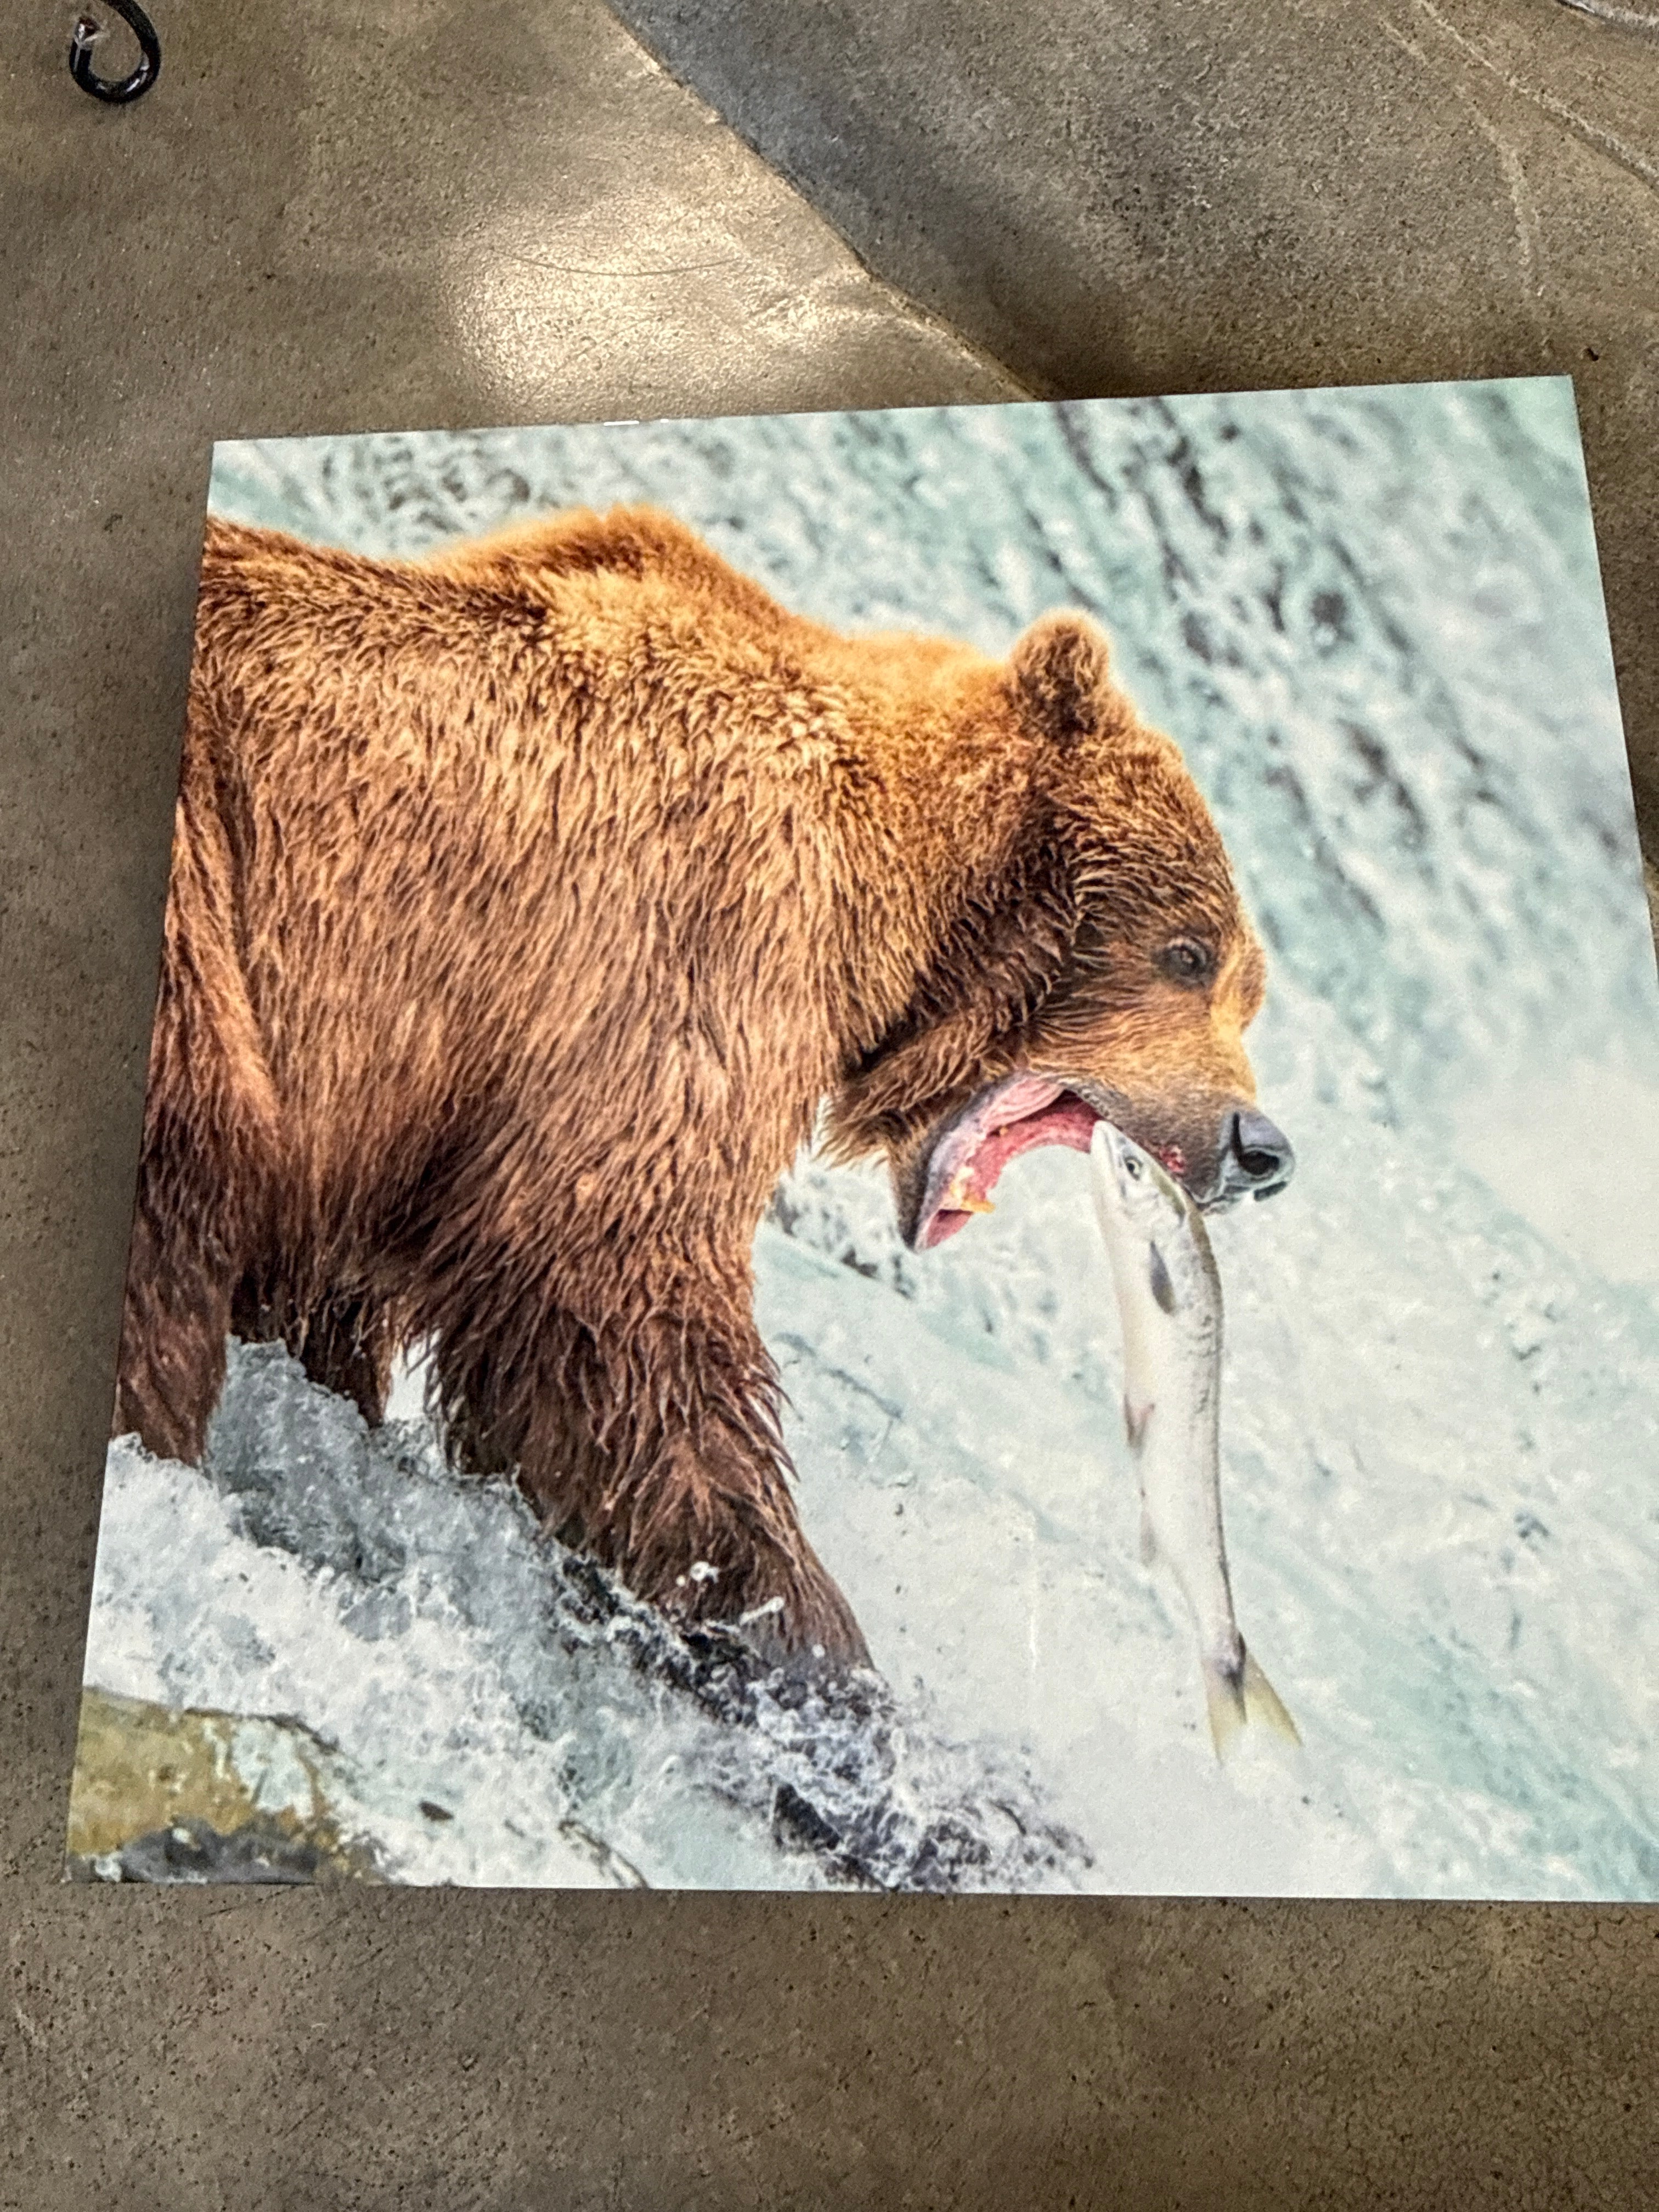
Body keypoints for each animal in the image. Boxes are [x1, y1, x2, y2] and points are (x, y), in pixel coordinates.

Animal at [113, 503, 1292, 1669]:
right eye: (1186, 951)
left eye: (1247, 991)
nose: (1261, 1146)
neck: (890, 901)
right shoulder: (689, 950)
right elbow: (615, 1302)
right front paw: (805, 1639)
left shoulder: (405, 1096)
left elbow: (347, 1295)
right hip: (197, 908)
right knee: (186, 1187)